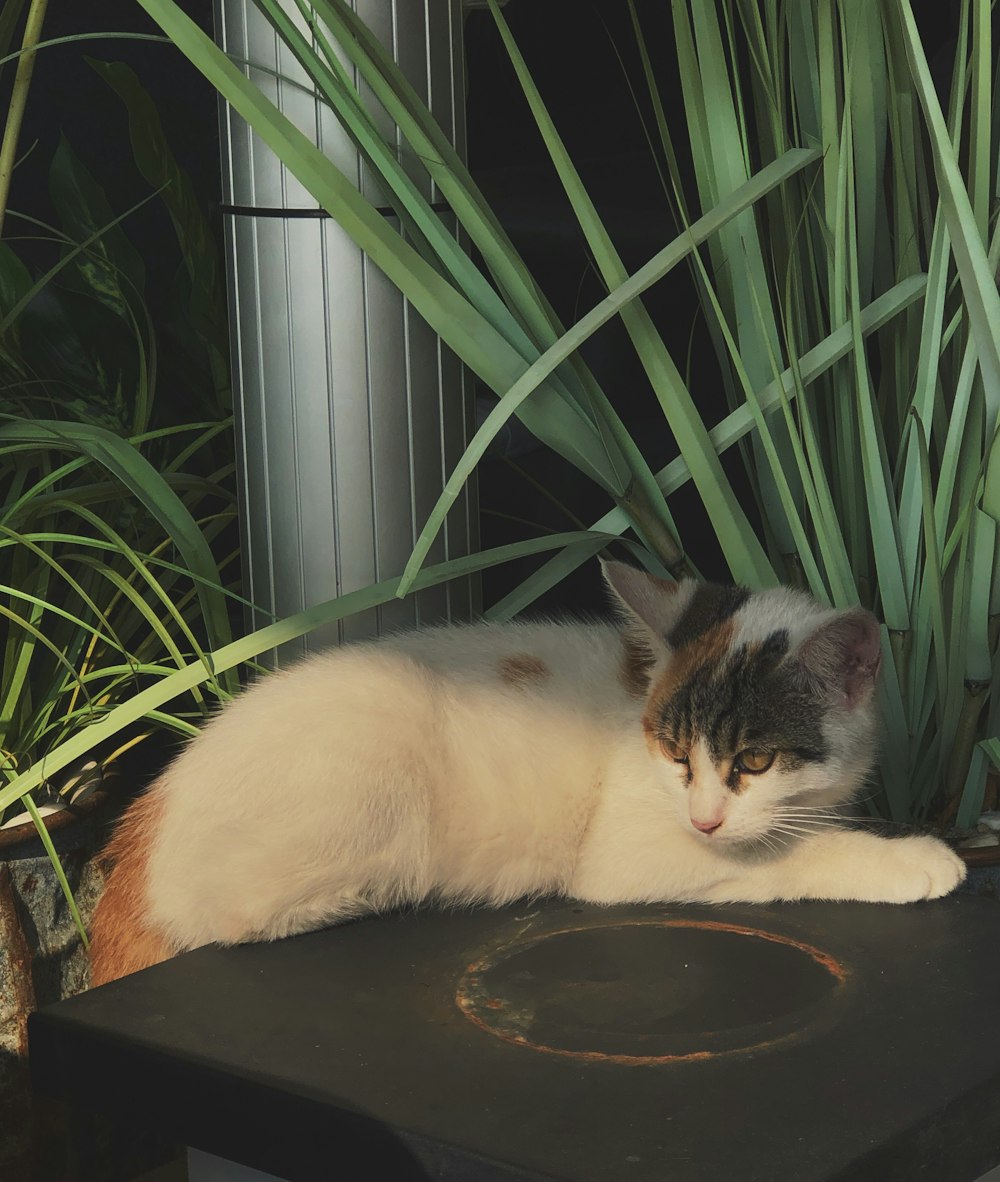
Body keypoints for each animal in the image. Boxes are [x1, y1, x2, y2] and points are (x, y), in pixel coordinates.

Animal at [88, 557, 969, 983]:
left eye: (754, 759)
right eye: (675, 754)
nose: (706, 817)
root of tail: (150, 812)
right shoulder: (628, 854)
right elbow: (780, 856)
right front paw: (914, 859)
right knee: (233, 916)